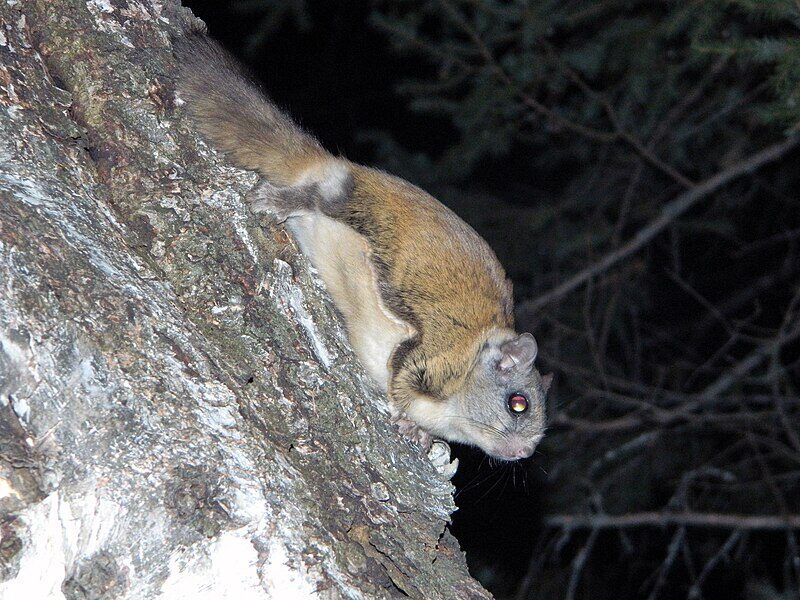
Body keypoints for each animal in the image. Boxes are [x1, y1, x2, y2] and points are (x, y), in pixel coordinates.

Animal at [173, 33, 552, 461]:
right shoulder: (435, 356)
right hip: (350, 207)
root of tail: (336, 166)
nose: (523, 453)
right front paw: (408, 421)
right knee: (315, 198)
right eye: (518, 403)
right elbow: (400, 379)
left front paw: (424, 436)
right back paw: (280, 201)